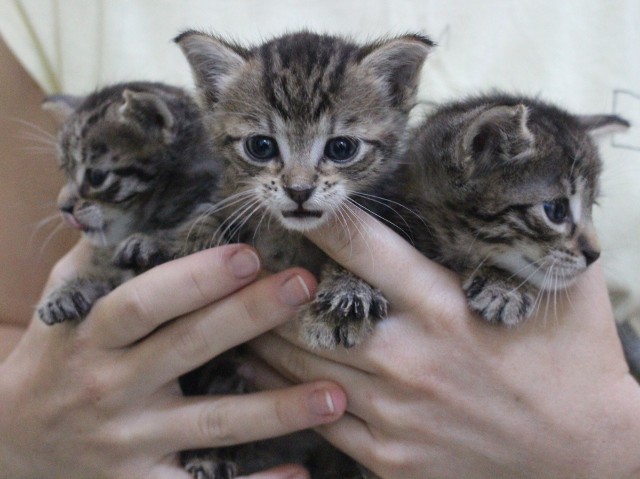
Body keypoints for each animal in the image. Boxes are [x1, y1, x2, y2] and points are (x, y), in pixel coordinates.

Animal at [37, 82, 219, 326]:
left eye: (96, 177)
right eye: (65, 171)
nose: (63, 208)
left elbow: (201, 231)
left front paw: (154, 242)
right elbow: (105, 271)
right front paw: (68, 290)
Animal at [174, 31, 436, 479]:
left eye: (342, 147)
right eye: (261, 146)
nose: (298, 190)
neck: (294, 239)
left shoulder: (400, 215)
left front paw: (348, 295)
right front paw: (200, 237)